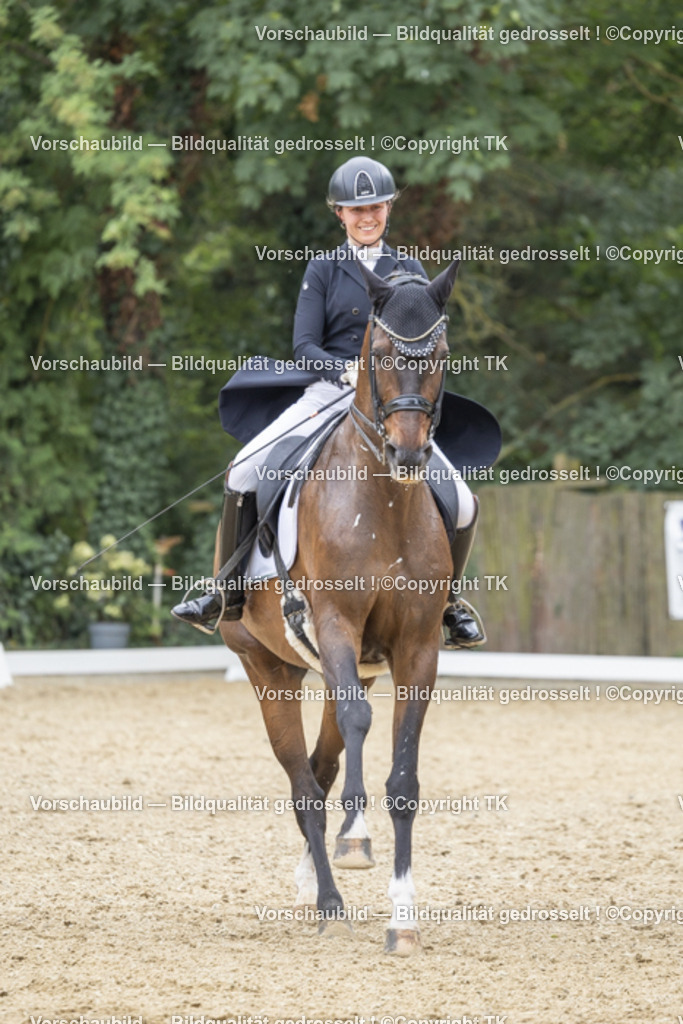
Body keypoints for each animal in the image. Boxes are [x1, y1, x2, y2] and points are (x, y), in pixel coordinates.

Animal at [219, 259, 461, 955]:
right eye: (377, 354)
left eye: (439, 356)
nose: (408, 454)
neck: (383, 503)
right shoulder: (335, 627)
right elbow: (357, 728)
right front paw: (356, 843)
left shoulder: (417, 650)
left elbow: (403, 781)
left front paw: (402, 918)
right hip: (267, 666)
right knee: (303, 782)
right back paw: (327, 895)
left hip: (333, 669)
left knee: (320, 768)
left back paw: (316, 876)